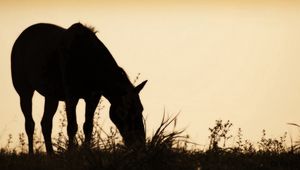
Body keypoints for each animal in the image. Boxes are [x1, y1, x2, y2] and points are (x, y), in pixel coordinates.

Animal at [11, 22, 147, 154]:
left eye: (141, 108)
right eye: (126, 112)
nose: (140, 143)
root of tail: (19, 40)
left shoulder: (93, 97)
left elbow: (88, 126)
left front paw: (86, 152)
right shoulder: (71, 96)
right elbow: (72, 127)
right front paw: (71, 153)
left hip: (51, 96)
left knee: (46, 123)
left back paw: (51, 155)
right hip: (24, 91)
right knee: (30, 124)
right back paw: (31, 154)